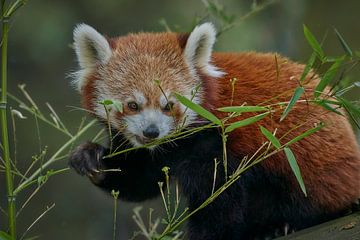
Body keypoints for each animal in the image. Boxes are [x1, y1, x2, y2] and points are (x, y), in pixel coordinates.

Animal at [68, 23, 360, 240]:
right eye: (132, 105)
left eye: (168, 105)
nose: (151, 132)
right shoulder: (160, 152)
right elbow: (143, 179)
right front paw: (92, 158)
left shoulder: (220, 142)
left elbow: (218, 204)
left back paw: (277, 226)